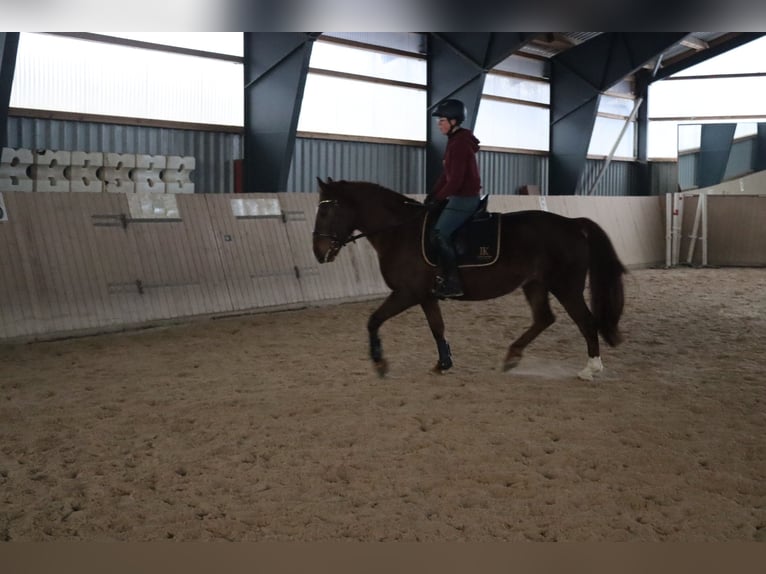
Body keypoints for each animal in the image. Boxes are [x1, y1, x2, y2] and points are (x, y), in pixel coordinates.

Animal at [311, 177, 627, 381]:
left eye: (326, 210)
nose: (318, 252)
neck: (400, 231)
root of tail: (573, 224)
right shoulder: (426, 296)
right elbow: (437, 328)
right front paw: (443, 363)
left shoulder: (406, 293)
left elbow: (373, 320)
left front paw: (379, 363)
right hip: (535, 284)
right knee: (544, 319)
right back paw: (512, 356)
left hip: (566, 287)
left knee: (586, 322)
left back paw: (590, 369)